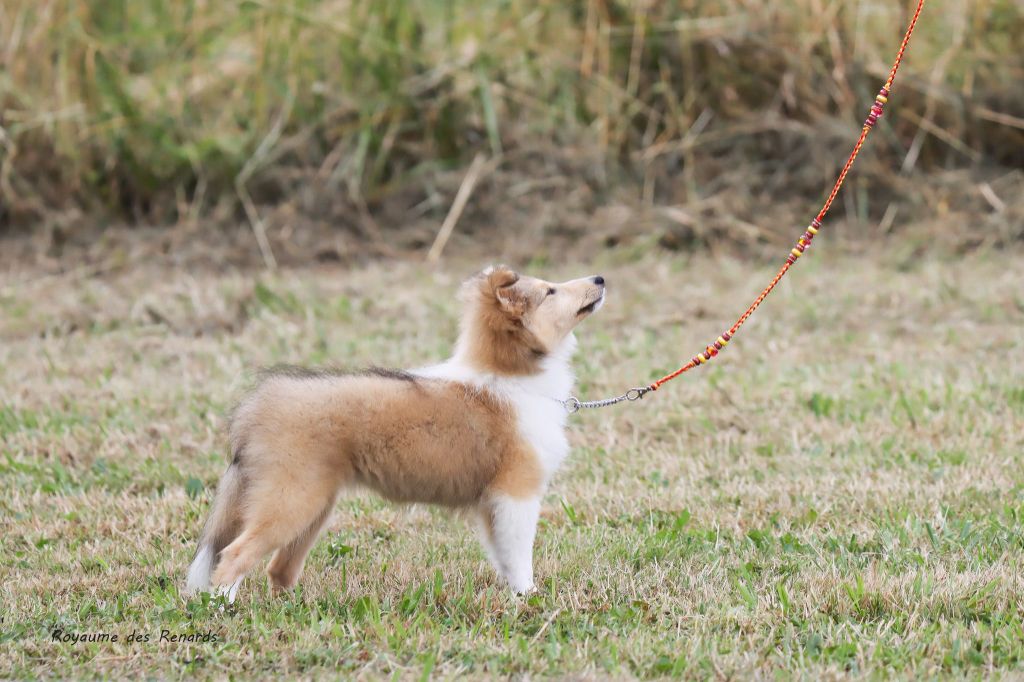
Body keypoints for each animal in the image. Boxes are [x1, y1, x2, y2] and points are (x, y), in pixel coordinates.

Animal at [187, 264, 602, 593]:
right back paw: (219, 608)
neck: (512, 377)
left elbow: (503, 556)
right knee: (234, 555)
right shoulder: (517, 492)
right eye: (550, 291)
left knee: (277, 569)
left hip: (313, 504)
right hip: (290, 498)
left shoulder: (493, 503)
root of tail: (255, 407)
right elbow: (519, 556)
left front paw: (515, 595)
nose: (599, 278)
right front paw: (530, 599)